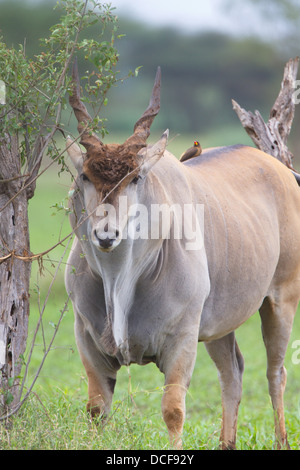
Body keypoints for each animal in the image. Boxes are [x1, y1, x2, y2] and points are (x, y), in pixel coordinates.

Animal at [65, 62, 300, 448]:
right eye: (84, 176)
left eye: (136, 178)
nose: (106, 234)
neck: (120, 279)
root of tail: (280, 169)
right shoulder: (88, 341)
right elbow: (97, 410)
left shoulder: (182, 340)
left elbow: (173, 410)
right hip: (219, 325)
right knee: (233, 372)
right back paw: (226, 442)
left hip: (281, 299)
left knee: (275, 373)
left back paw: (281, 439)